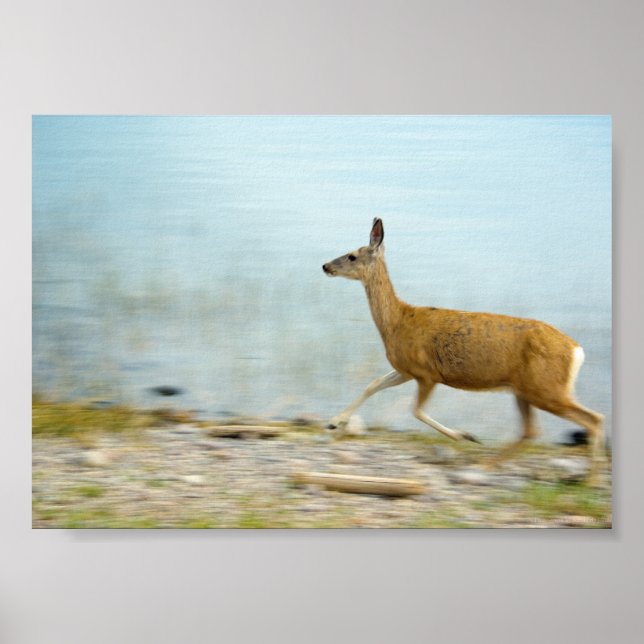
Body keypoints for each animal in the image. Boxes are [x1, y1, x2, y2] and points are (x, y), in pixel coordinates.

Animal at [322, 218, 605, 483]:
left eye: (352, 255)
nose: (325, 266)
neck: (398, 322)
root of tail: (577, 350)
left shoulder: (427, 373)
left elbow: (416, 410)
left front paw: (464, 436)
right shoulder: (406, 369)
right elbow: (373, 385)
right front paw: (334, 422)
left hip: (545, 388)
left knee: (593, 419)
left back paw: (588, 480)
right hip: (525, 390)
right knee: (532, 430)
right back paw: (489, 465)